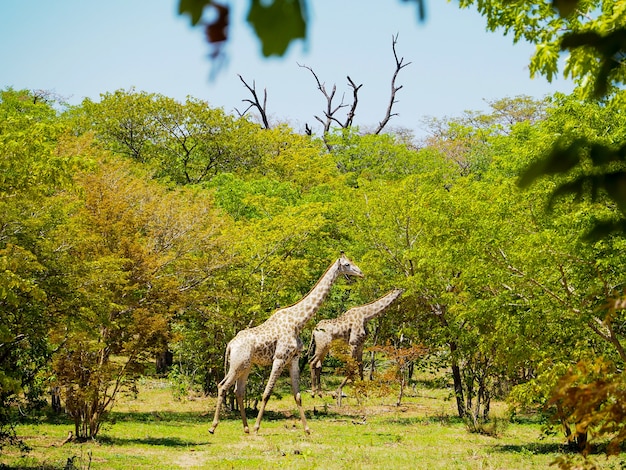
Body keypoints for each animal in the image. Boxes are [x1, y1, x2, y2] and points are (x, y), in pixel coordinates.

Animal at [207, 253, 364, 434]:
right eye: (347, 264)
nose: (361, 273)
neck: (298, 321)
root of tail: (230, 345)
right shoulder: (279, 358)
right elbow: (266, 393)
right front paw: (257, 427)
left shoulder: (293, 359)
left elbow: (298, 395)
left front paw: (307, 429)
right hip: (237, 364)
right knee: (222, 386)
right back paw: (214, 427)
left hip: (246, 365)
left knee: (238, 391)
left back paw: (245, 428)